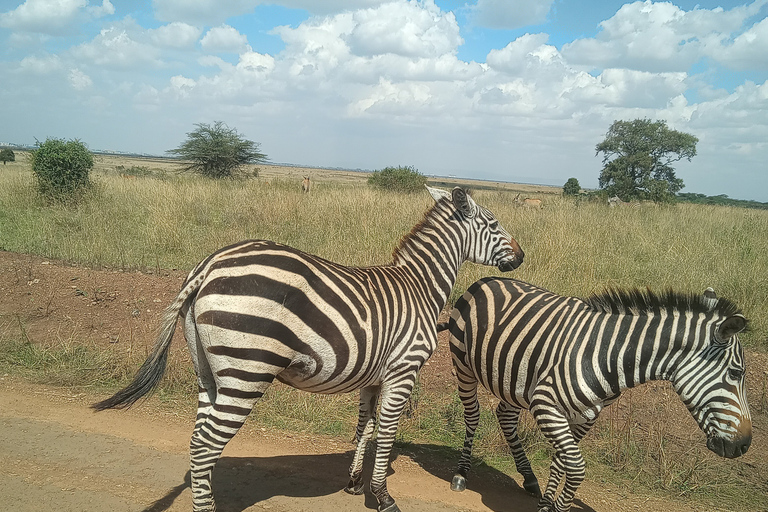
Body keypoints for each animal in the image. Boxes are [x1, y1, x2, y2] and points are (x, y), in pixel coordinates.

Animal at [88, 186, 520, 512]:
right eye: (494, 223)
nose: (522, 254)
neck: (420, 286)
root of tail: (209, 265)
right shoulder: (403, 369)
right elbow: (387, 431)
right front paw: (382, 496)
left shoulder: (373, 375)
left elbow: (365, 427)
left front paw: (354, 482)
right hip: (246, 371)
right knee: (207, 444)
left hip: (208, 372)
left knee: (197, 442)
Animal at [440, 278, 752, 512]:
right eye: (736, 373)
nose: (744, 445)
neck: (610, 355)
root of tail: (488, 279)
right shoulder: (545, 404)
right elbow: (576, 467)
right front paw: (556, 506)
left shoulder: (587, 416)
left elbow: (561, 461)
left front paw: (546, 505)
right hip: (464, 365)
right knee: (472, 415)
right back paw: (461, 474)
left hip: (514, 380)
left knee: (505, 416)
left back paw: (528, 478)